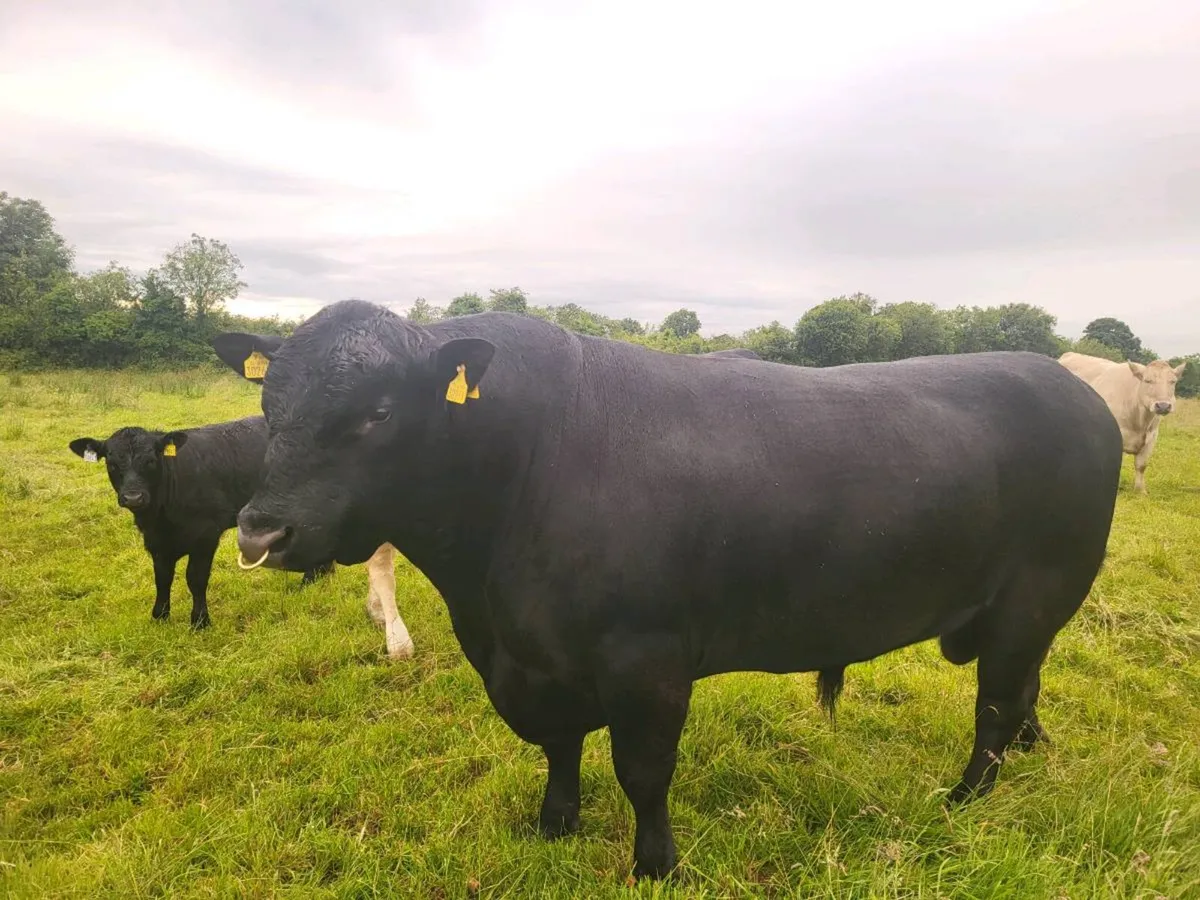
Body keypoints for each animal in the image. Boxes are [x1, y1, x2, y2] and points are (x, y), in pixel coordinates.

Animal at [68, 416, 414, 658]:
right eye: (112, 463)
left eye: (151, 460)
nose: (133, 497)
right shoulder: (157, 543)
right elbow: (162, 579)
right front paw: (160, 617)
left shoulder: (205, 536)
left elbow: (195, 579)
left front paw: (200, 622)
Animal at [214, 301, 1121, 881]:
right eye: (269, 401)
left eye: (377, 411)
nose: (261, 535)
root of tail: (1078, 388)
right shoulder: (536, 658)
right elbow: (559, 747)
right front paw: (554, 824)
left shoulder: (645, 660)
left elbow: (643, 771)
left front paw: (657, 867)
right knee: (1023, 689)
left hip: (1036, 594)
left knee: (995, 704)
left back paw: (964, 799)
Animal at [1058, 351, 1188, 494]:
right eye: (1147, 380)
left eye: (1172, 382)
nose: (1163, 405)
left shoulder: (1152, 437)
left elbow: (1141, 465)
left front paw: (1140, 491)